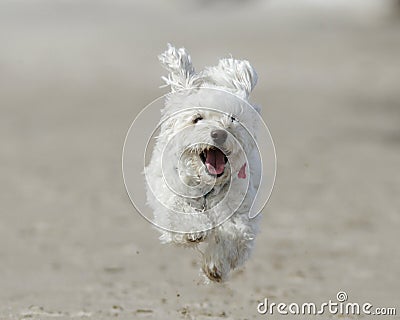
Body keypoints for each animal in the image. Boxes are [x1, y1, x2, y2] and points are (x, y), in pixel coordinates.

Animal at [145, 43, 262, 282]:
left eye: (233, 118)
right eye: (197, 118)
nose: (219, 134)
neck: (209, 186)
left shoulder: (241, 213)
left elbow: (233, 234)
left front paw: (215, 264)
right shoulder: (170, 197)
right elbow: (179, 211)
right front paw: (194, 230)